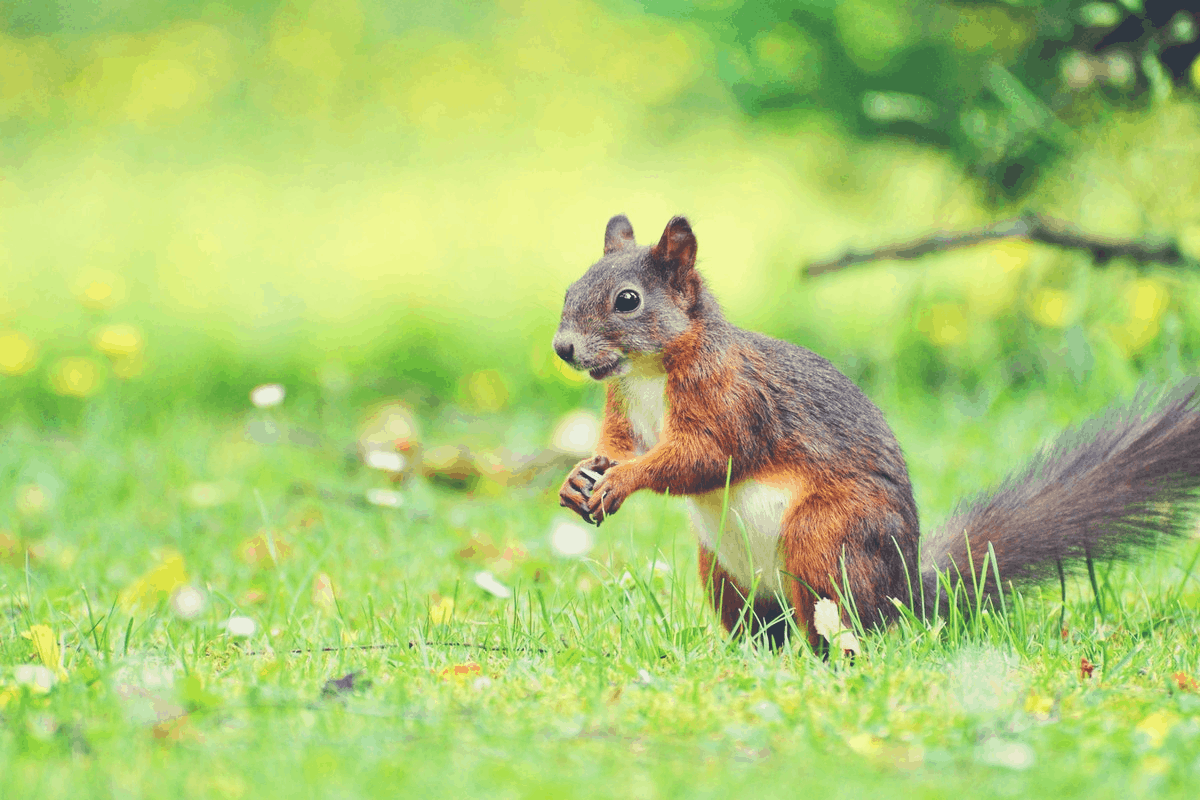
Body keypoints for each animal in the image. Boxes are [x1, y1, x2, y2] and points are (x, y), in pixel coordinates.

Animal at [554, 214, 1200, 652]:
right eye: (570, 289)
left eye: (627, 301)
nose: (563, 349)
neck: (647, 372)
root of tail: (903, 593)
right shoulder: (623, 410)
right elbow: (617, 445)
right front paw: (578, 478)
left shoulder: (733, 401)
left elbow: (702, 457)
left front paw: (624, 481)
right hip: (724, 572)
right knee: (764, 627)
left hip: (824, 539)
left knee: (838, 623)